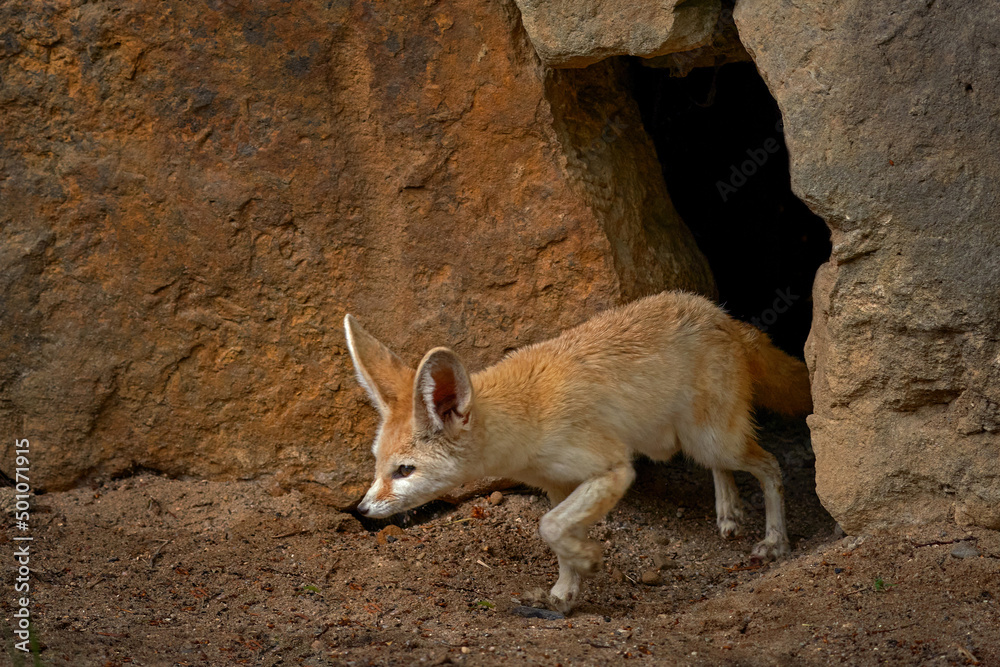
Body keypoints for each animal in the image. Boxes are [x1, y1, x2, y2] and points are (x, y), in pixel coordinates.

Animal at [344, 290, 812, 613]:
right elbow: (557, 534)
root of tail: (721, 313)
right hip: (689, 442)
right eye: (378, 466)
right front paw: (564, 594)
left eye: (404, 470)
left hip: (711, 440)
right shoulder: (559, 484)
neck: (527, 415)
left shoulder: (612, 470)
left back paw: (775, 541)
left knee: (770, 466)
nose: (361, 510)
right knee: (723, 468)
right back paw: (728, 512)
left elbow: (549, 527)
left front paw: (587, 562)